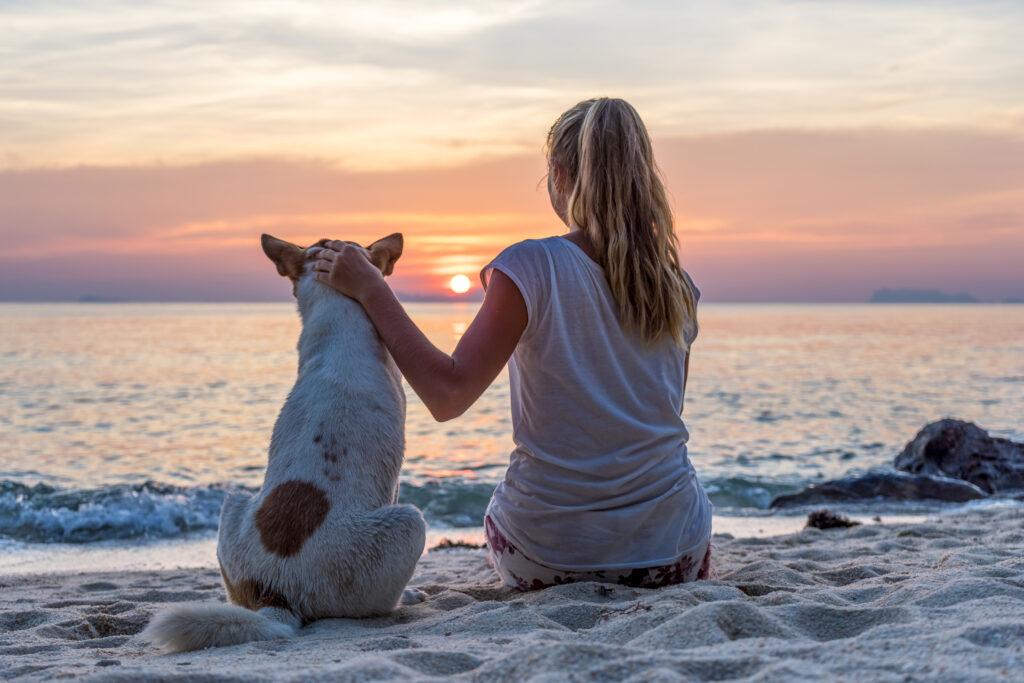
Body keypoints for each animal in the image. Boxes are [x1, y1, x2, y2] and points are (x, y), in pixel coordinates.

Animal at [142, 233, 425, 651]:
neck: (336, 315)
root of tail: (276, 594)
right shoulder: (394, 485)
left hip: (233, 504)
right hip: (407, 523)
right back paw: (407, 596)